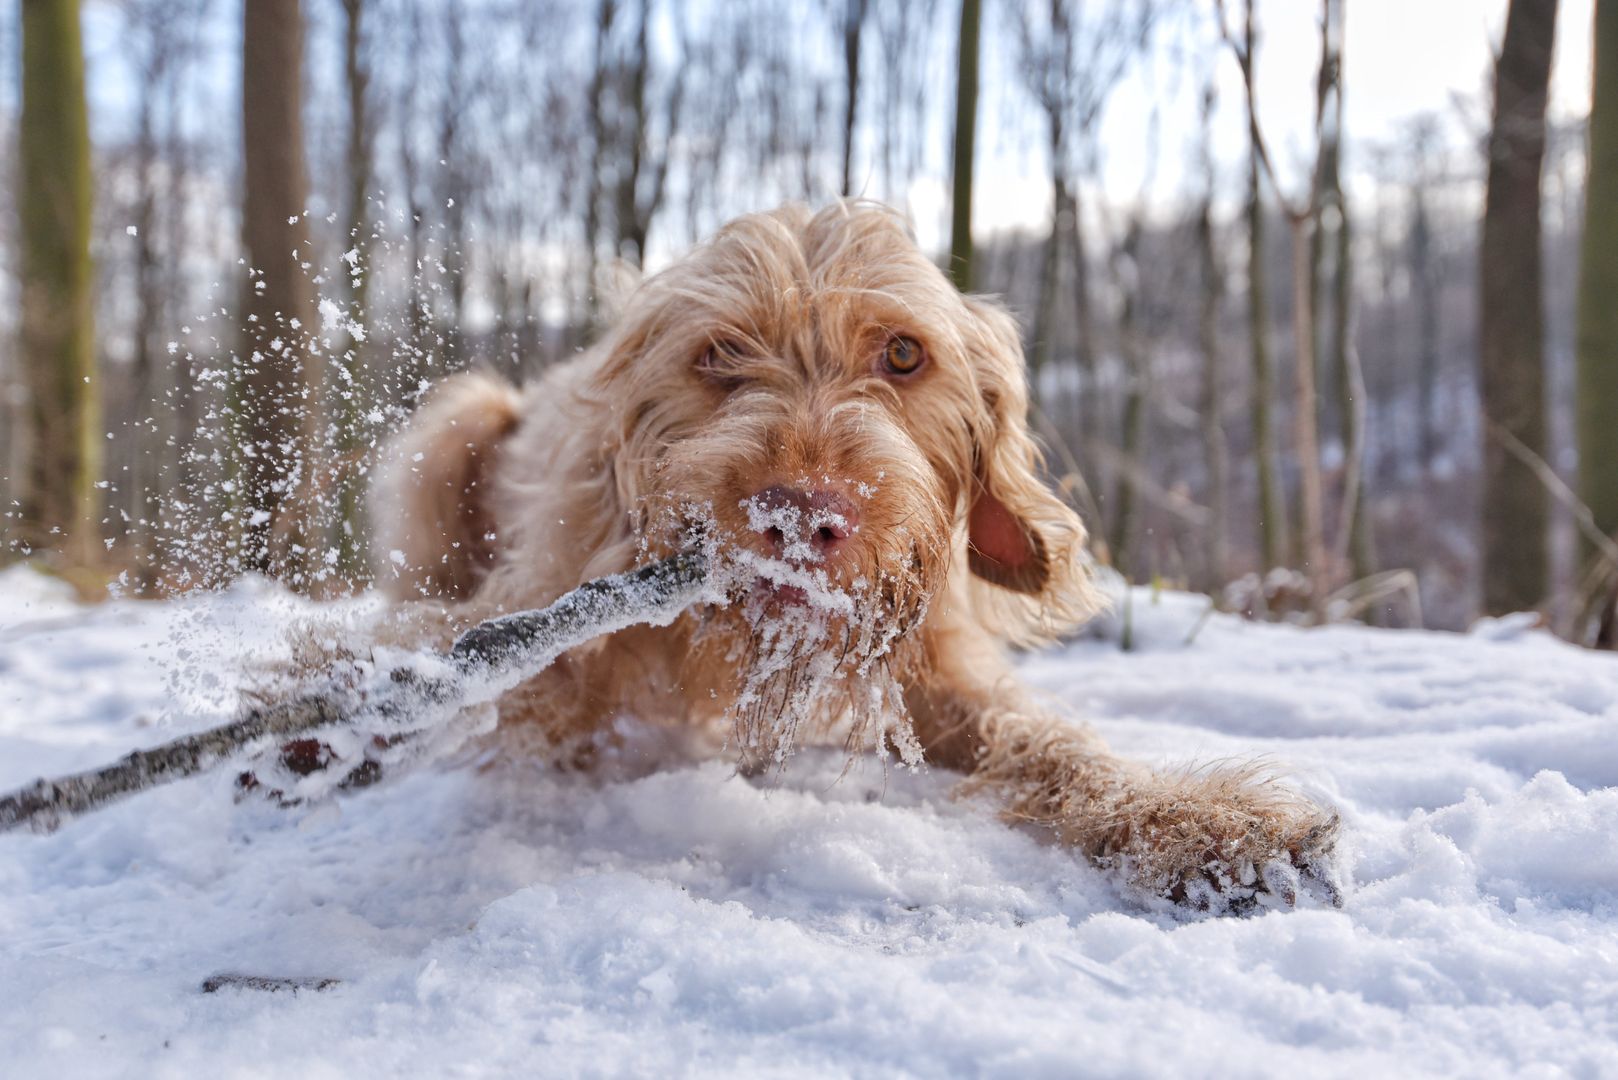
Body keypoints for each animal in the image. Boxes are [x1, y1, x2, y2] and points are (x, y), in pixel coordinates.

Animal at [375, 200, 1339, 913]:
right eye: (719, 354)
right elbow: (478, 655)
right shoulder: (547, 609)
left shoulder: (943, 676)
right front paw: (358, 692)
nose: (804, 515)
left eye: (904, 353)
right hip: (461, 416)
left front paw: (1196, 819)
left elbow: (1051, 742)